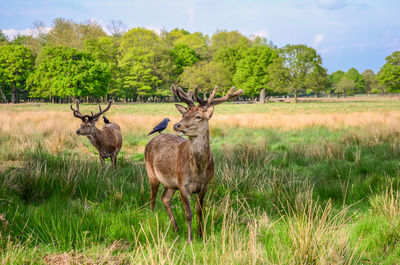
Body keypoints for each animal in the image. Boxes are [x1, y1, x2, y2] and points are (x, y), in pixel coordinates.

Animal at [145, 85, 242, 241]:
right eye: (184, 115)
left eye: (198, 116)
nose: (177, 125)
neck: (198, 170)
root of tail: (150, 141)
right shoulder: (183, 184)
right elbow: (188, 213)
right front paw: (190, 239)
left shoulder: (205, 185)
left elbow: (199, 210)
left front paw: (201, 234)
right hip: (151, 173)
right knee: (153, 198)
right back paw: (153, 218)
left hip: (171, 184)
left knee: (165, 198)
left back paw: (176, 228)